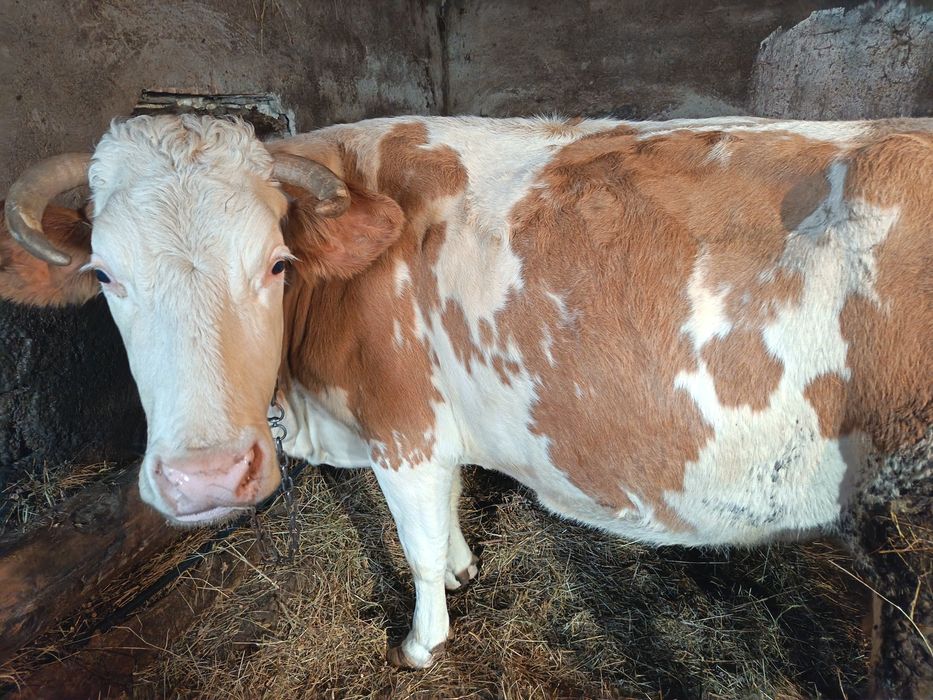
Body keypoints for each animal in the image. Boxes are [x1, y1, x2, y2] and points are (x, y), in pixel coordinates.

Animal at [1, 114, 930, 693]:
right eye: (105, 275)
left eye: (275, 263)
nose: (206, 477)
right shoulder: (437, 426)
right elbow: (448, 508)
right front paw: (461, 566)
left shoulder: (401, 424)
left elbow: (412, 544)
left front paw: (421, 641)